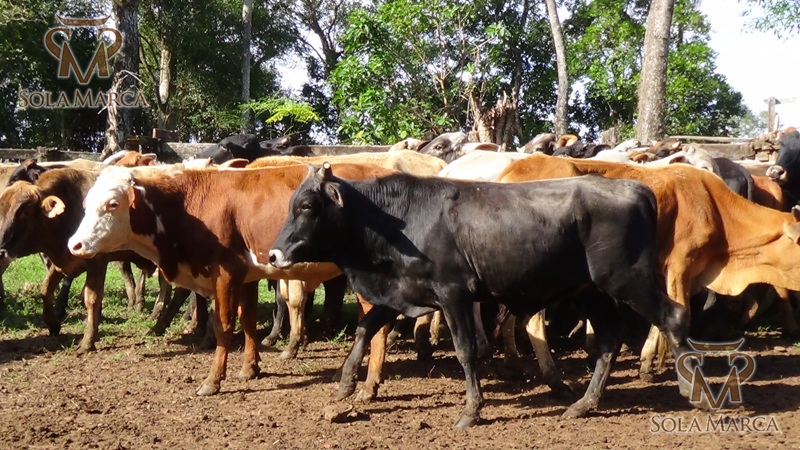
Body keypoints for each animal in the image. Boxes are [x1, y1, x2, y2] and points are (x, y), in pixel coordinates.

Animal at [0, 168, 160, 353]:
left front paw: (88, 341)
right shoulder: (62, 261)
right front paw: (53, 324)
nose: (1, 252)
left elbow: (91, 298)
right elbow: (46, 289)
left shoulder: (97, 262)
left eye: (25, 213)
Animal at [67, 163, 398, 398]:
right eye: (86, 204)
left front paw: (213, 381)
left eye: (112, 204)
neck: (187, 204)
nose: (75, 244)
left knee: (378, 327)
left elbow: (224, 325)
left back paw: (368, 386)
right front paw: (250, 368)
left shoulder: (225, 272)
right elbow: (248, 319)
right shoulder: (248, 275)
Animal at [267, 163, 709, 426]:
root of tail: (635, 187)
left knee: (672, 317)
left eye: (307, 206)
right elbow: (364, 328)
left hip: (627, 280)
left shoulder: (454, 295)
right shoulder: (401, 293)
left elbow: (465, 351)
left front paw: (471, 410)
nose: (274, 254)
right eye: (291, 204)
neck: (400, 221)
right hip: (591, 290)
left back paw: (696, 393)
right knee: (609, 340)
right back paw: (584, 404)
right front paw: (344, 386)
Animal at [498, 154, 800, 382]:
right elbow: (680, 312)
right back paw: (552, 377)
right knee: (533, 321)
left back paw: (515, 365)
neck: (713, 206)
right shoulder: (680, 266)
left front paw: (647, 363)